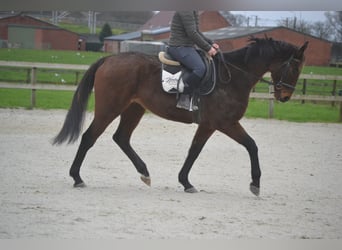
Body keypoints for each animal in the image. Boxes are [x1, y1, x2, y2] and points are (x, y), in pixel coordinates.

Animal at [52, 37, 308, 196]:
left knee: (121, 138)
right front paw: (255, 183)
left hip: (134, 108)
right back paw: (77, 177)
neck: (233, 77)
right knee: (89, 137)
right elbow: (251, 146)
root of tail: (110, 58)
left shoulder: (209, 125)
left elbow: (194, 150)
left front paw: (185, 181)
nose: (285, 96)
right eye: (295, 68)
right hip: (110, 108)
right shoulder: (224, 123)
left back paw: (144, 173)